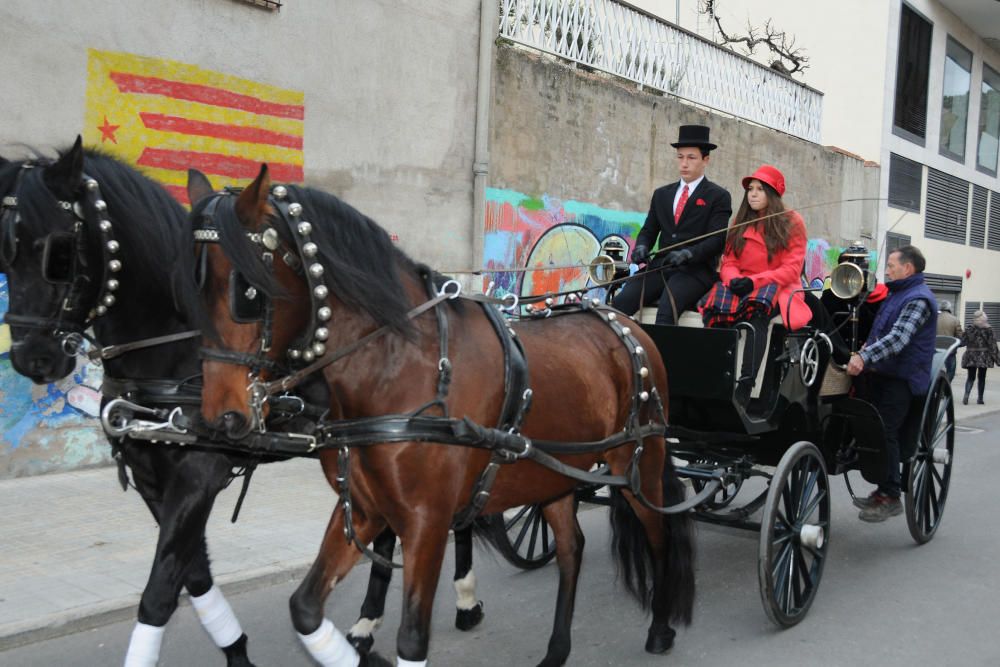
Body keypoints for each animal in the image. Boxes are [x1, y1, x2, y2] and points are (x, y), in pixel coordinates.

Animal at [0, 138, 480, 664]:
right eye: (6, 253)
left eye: (58, 252)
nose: (31, 356)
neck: (175, 344)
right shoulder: (152, 476)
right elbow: (193, 575)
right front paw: (236, 648)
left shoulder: (198, 473)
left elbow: (159, 593)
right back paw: (368, 622)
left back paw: (464, 597)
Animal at [182, 167, 696, 667]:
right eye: (193, 284)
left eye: (247, 289)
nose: (220, 416)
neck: (401, 368)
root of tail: (627, 325)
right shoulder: (364, 510)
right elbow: (305, 608)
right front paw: (362, 645)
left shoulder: (426, 522)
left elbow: (412, 639)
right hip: (551, 477)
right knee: (572, 550)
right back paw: (556, 650)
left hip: (640, 464)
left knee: (659, 532)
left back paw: (660, 627)